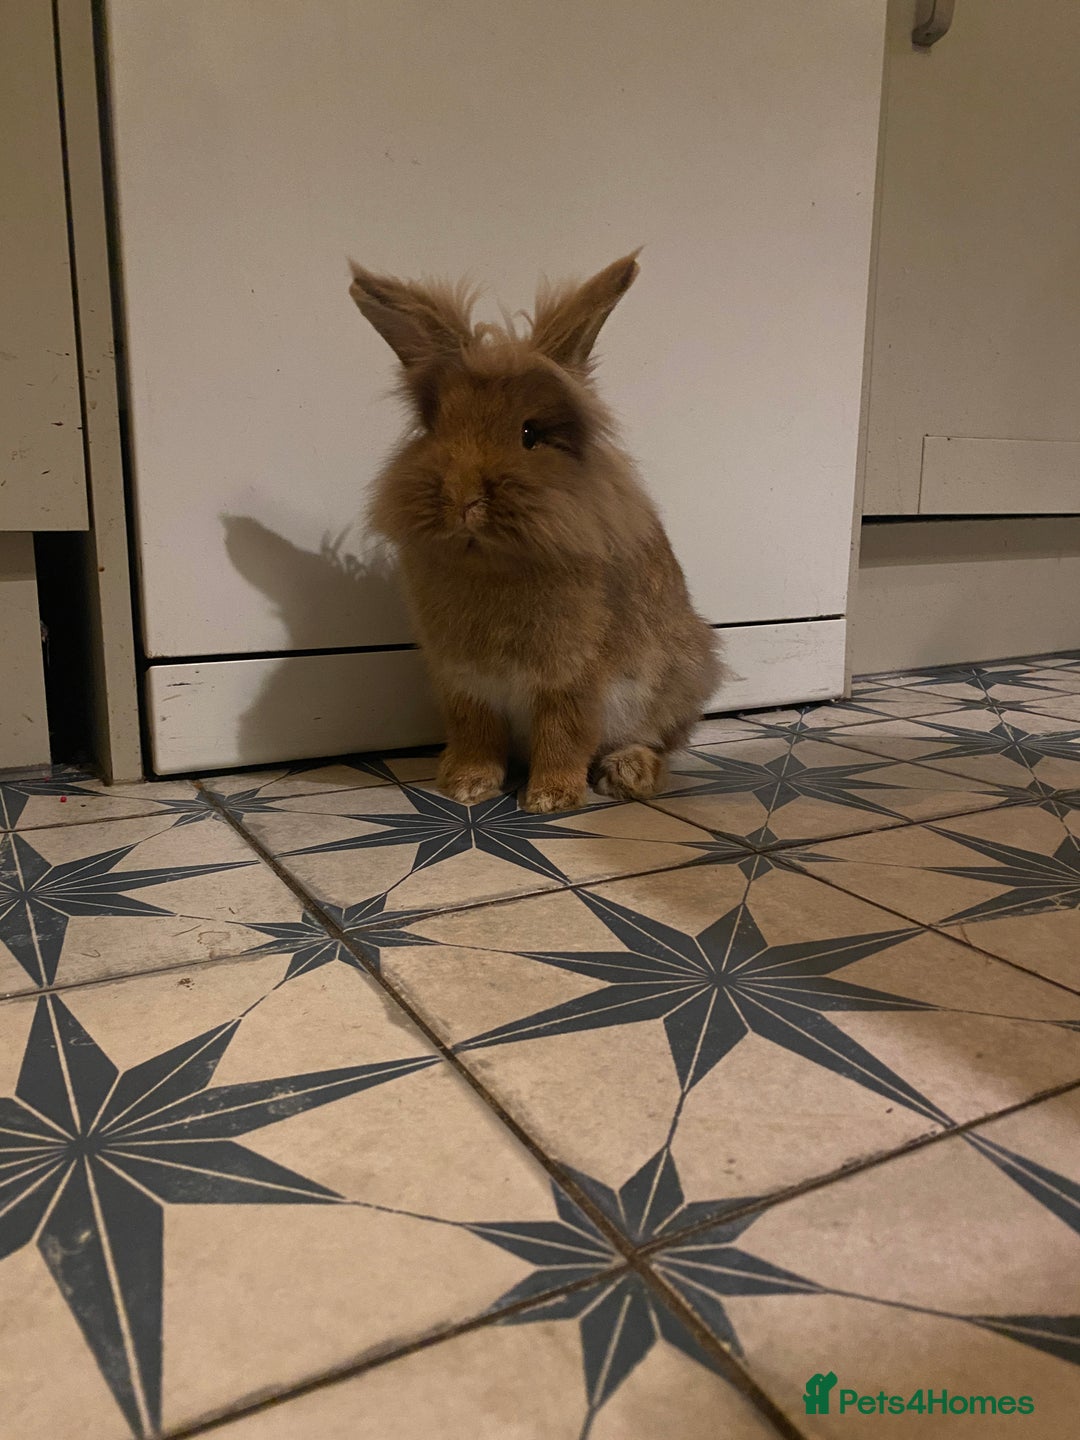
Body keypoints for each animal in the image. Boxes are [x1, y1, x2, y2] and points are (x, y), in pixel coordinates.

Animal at [348, 251, 721, 813]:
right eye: (436, 428)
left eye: (530, 434)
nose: (462, 500)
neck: (493, 565)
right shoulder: (465, 686)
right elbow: (477, 737)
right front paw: (466, 786)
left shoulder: (574, 681)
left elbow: (563, 735)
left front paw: (550, 799)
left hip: (677, 680)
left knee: (661, 745)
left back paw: (627, 774)